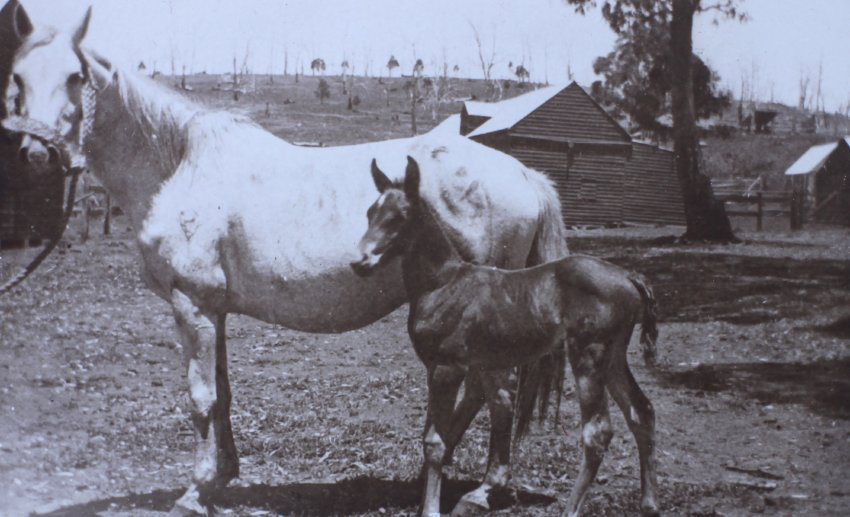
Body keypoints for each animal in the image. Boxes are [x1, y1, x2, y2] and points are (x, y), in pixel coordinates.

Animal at [0, 1, 570, 514]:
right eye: (18, 79)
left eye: (75, 77)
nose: (37, 155)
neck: (180, 164)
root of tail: (526, 176)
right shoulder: (215, 309)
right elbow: (223, 394)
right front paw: (222, 477)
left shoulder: (191, 304)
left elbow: (200, 399)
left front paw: (194, 492)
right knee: (485, 393)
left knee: (499, 391)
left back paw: (482, 489)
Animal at [351, 156, 660, 517]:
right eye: (370, 212)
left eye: (399, 216)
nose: (359, 261)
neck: (443, 283)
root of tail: (629, 276)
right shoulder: (460, 367)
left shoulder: (447, 368)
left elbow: (436, 442)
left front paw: (431, 509)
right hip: (613, 357)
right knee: (641, 411)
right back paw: (649, 503)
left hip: (589, 355)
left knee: (597, 432)